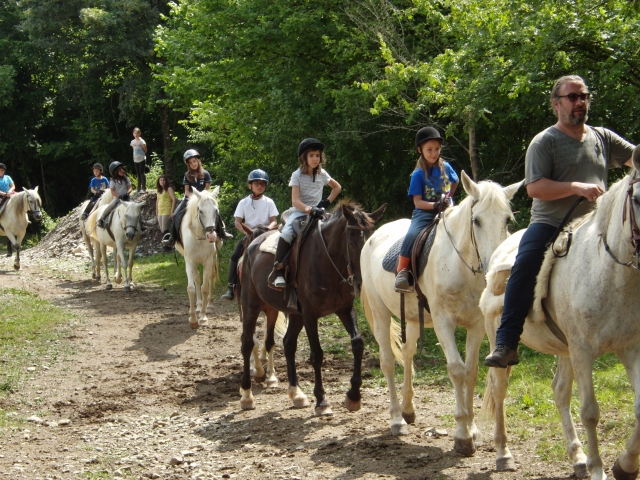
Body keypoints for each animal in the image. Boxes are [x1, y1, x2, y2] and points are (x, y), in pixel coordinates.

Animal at [175, 188, 221, 329]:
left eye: (216, 210)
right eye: (200, 211)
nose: (211, 236)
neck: (200, 236)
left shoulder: (208, 260)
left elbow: (205, 287)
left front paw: (203, 317)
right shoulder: (189, 261)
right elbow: (191, 288)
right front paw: (193, 319)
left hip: (213, 258)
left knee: (211, 277)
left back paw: (209, 306)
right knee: (196, 278)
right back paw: (199, 306)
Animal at [239, 201, 386, 413]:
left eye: (370, 243)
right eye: (352, 242)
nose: (361, 283)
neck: (327, 262)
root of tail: (252, 246)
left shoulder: (344, 309)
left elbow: (358, 344)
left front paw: (353, 396)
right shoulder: (310, 314)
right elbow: (317, 354)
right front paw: (322, 400)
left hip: (295, 314)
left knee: (289, 344)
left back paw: (296, 394)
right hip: (251, 305)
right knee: (247, 343)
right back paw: (247, 395)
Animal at [359, 171, 521, 456]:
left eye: (506, 219)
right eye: (476, 221)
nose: (494, 268)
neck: (461, 266)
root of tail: (372, 237)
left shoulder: (476, 325)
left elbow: (471, 370)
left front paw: (472, 428)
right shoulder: (443, 322)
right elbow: (456, 370)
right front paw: (462, 436)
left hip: (413, 320)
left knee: (408, 353)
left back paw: (408, 410)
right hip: (380, 314)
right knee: (388, 361)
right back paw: (396, 419)